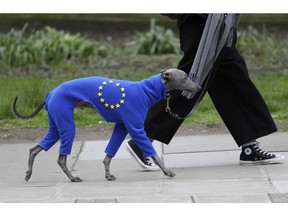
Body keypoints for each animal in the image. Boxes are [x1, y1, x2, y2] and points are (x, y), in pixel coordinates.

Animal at [12, 68, 200, 181]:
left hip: (55, 125)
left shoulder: (121, 127)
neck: (144, 91)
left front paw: (108, 175)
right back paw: (72, 178)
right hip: (66, 124)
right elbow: (153, 153)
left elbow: (109, 154)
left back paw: (28, 174)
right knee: (61, 158)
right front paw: (167, 172)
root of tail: (51, 92)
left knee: (34, 149)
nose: (199, 88)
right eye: (185, 77)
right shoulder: (136, 129)